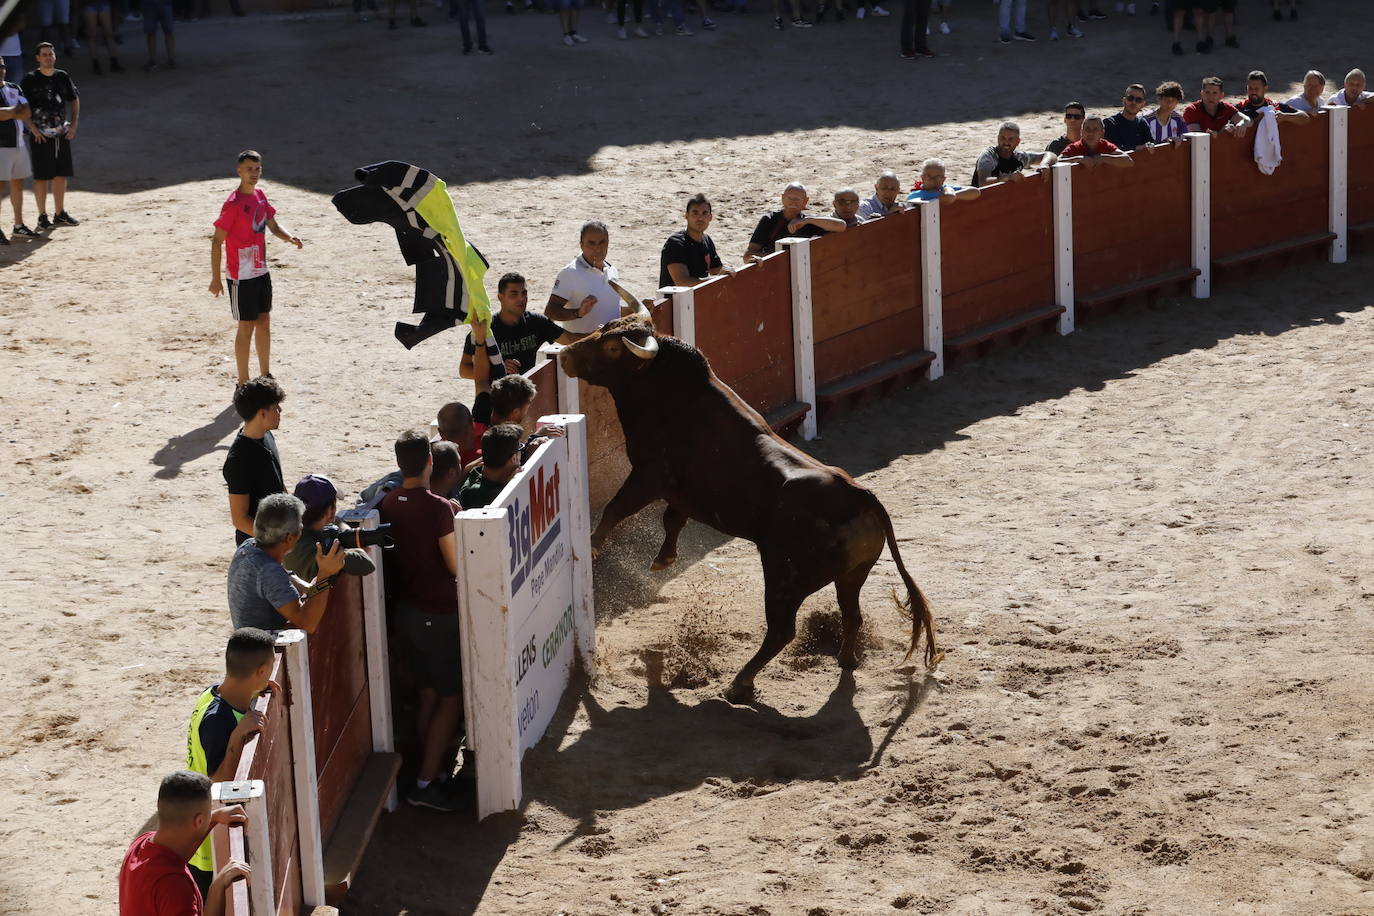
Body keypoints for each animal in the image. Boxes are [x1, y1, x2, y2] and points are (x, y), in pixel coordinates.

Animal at [555, 315, 934, 703]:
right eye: (605, 329)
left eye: (612, 348)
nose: (565, 355)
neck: (667, 392)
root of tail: (861, 496)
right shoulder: (680, 494)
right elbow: (672, 519)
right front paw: (663, 559)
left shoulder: (649, 476)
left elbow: (616, 508)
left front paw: (592, 545)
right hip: (852, 574)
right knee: (851, 615)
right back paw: (845, 660)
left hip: (784, 573)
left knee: (782, 629)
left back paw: (740, 682)